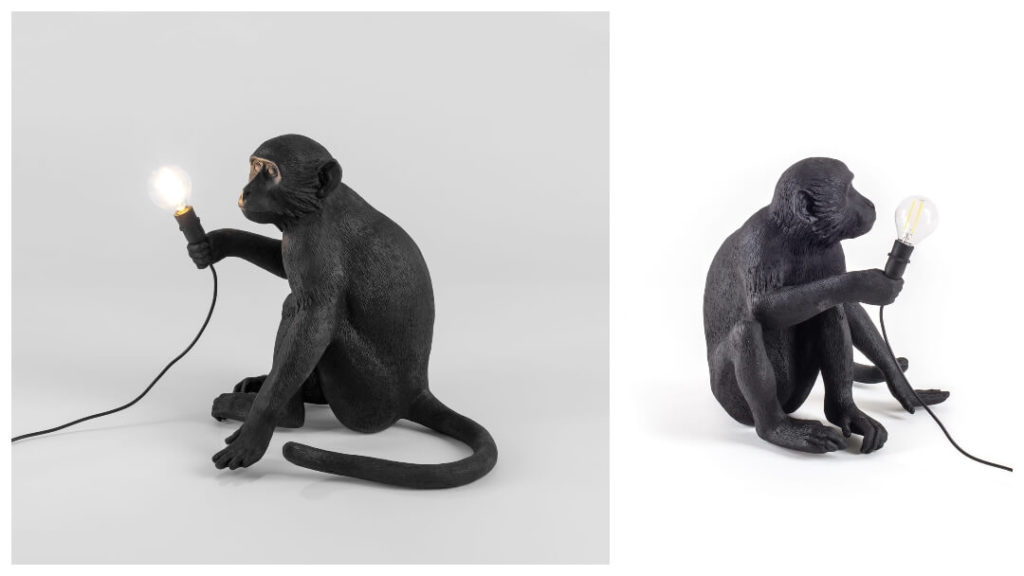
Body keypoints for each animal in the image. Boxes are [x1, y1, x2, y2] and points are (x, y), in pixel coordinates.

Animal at [186, 134, 497, 488]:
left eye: (271, 172)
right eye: (254, 167)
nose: (246, 191)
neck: (317, 205)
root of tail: (416, 392)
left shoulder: (312, 242)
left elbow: (316, 320)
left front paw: (256, 429)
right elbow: (281, 264)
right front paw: (216, 243)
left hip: (365, 400)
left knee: (295, 306)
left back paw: (283, 413)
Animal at [702, 157, 949, 454]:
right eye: (850, 190)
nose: (870, 204)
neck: (799, 236)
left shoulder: (831, 249)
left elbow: (844, 303)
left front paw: (901, 384)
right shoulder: (758, 241)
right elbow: (763, 307)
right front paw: (867, 282)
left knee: (828, 308)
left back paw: (845, 412)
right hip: (730, 400)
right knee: (746, 330)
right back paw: (779, 429)